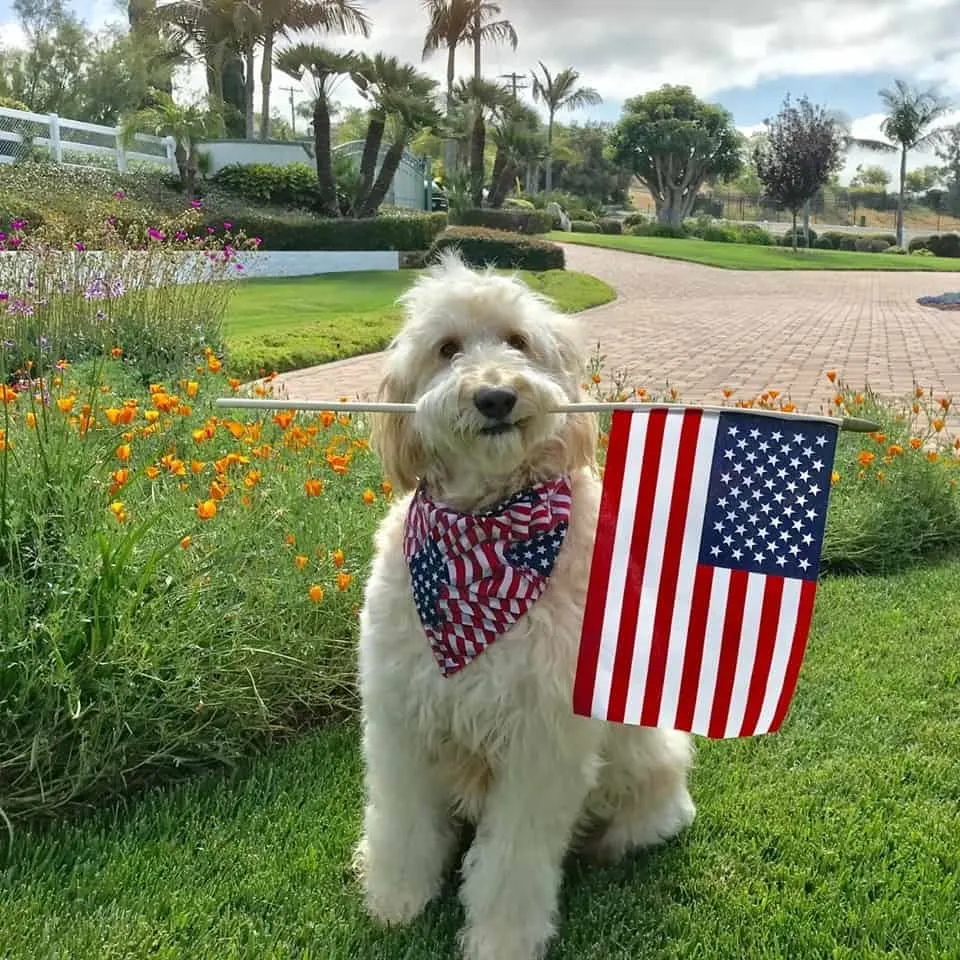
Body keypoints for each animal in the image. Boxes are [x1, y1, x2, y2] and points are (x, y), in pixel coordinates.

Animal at [352, 251, 696, 956]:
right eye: (447, 348)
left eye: (517, 340)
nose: (495, 395)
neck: (486, 540)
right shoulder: (401, 717)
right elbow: (402, 820)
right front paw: (396, 897)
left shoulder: (542, 741)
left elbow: (512, 861)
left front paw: (501, 937)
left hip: (652, 763)